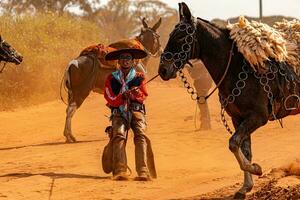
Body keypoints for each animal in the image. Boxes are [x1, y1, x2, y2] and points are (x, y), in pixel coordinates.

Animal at [159, 2, 300, 199]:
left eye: (180, 36)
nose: (163, 70)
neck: (238, 67)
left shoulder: (258, 117)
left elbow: (233, 144)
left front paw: (255, 169)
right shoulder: (238, 118)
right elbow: (244, 149)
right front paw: (246, 186)